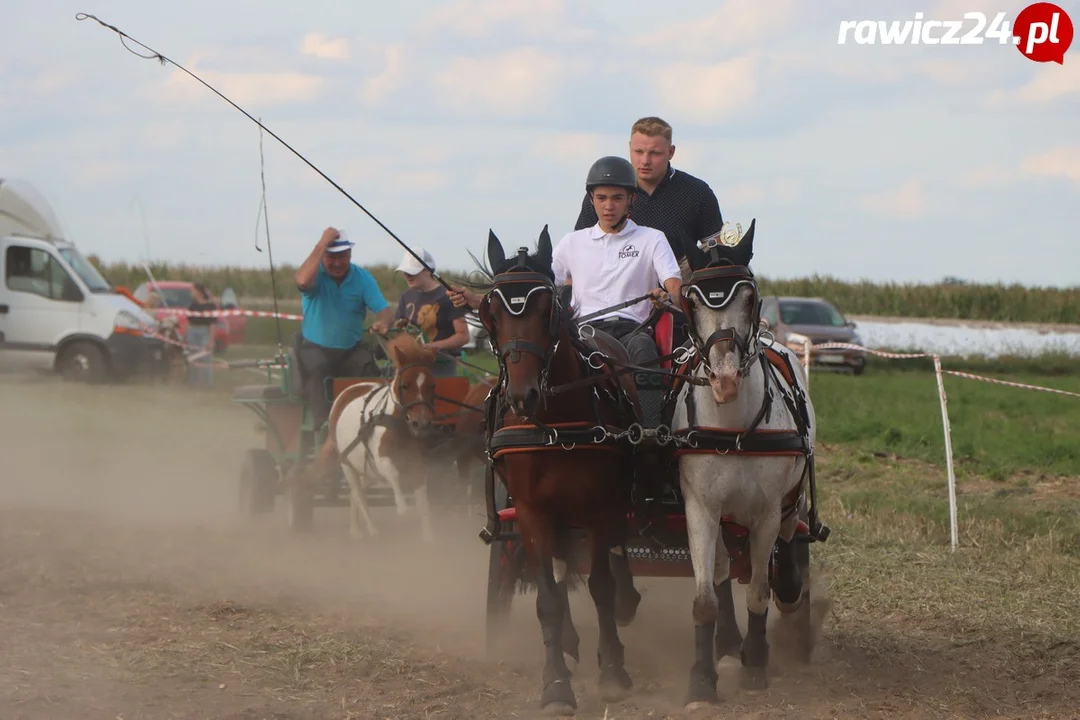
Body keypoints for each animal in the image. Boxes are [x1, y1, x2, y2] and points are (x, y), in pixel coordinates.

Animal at [315, 334, 440, 544]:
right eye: (405, 385)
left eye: (432, 385)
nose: (421, 423)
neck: (397, 424)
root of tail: (349, 390)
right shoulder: (382, 460)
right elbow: (394, 474)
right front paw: (402, 507)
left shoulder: (418, 463)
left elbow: (423, 503)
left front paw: (430, 538)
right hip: (347, 464)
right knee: (358, 494)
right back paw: (371, 529)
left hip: (367, 470)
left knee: (355, 494)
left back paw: (355, 530)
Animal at [477, 227, 643, 712]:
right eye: (492, 310)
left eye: (546, 308)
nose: (522, 396)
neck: (555, 423)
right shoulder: (533, 511)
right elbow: (548, 598)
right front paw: (555, 684)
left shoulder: (600, 505)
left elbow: (603, 585)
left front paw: (613, 670)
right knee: (557, 566)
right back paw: (569, 640)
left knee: (612, 559)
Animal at [665, 221, 825, 716]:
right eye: (692, 300)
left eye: (750, 298)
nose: (724, 379)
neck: (733, 427)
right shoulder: (699, 509)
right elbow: (705, 597)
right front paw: (702, 680)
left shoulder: (767, 513)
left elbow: (757, 590)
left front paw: (756, 664)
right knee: (720, 572)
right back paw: (727, 643)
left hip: (789, 502)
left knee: (786, 554)